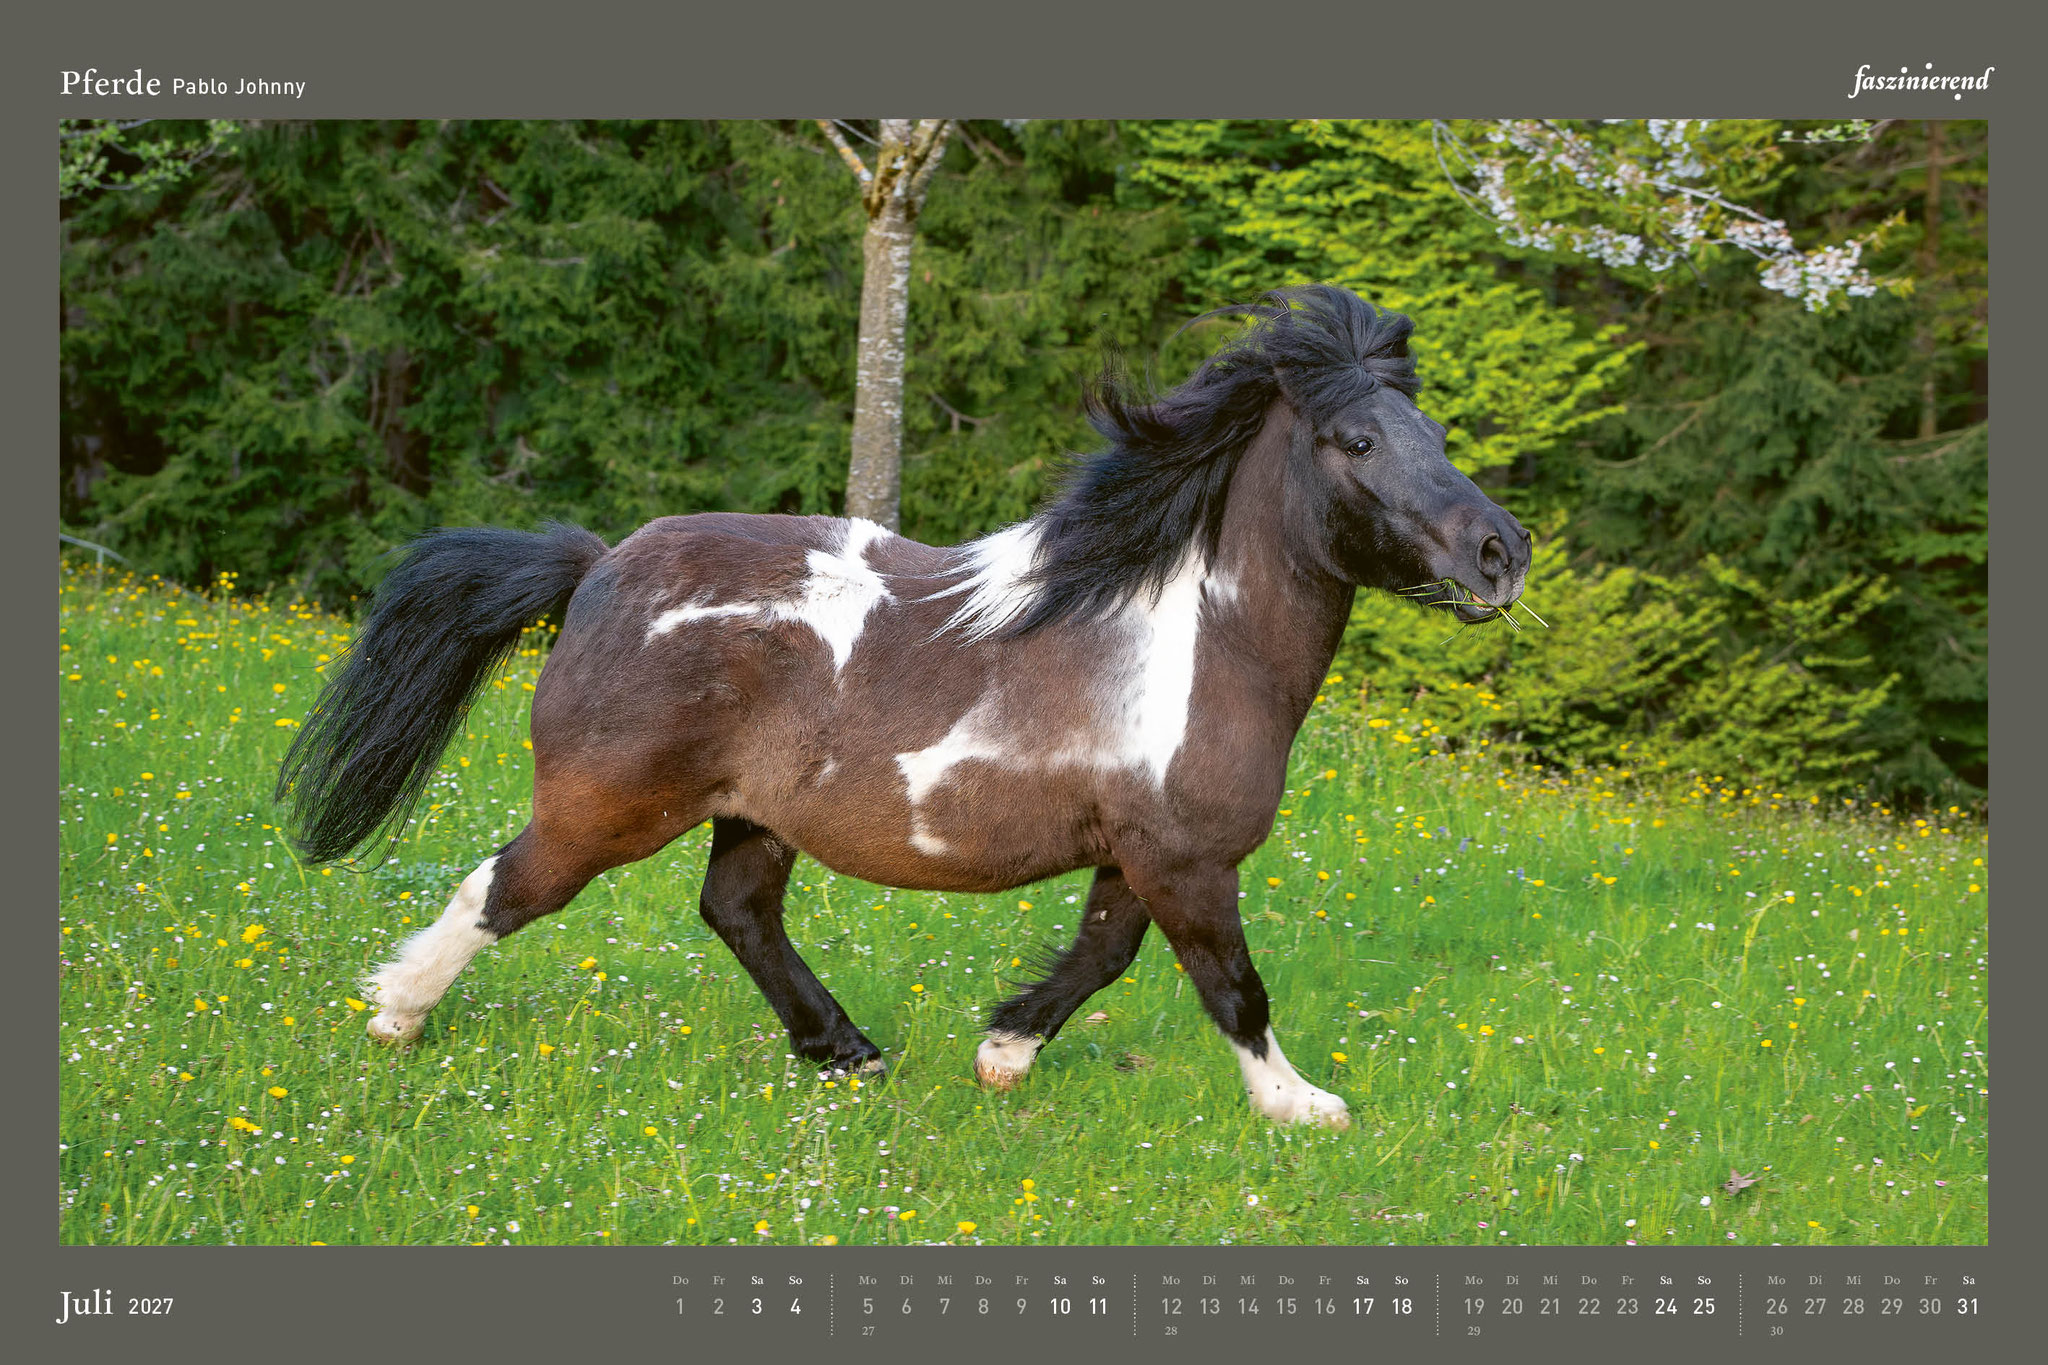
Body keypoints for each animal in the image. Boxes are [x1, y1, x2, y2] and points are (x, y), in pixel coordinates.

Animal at [276, 284, 1531, 1130]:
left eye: (1436, 435)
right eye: (1356, 439)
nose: (1499, 553)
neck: (1193, 639)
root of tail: (594, 569)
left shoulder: (1140, 853)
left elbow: (1100, 957)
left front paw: (1001, 1055)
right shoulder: (1182, 860)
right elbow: (1230, 983)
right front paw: (1300, 1106)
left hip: (752, 814)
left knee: (736, 912)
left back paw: (847, 1052)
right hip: (609, 807)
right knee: (502, 888)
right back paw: (395, 1015)